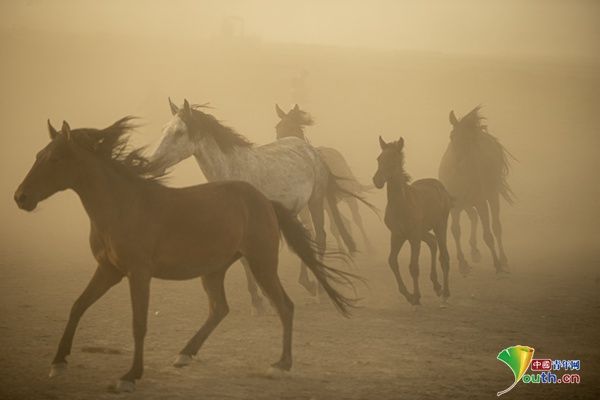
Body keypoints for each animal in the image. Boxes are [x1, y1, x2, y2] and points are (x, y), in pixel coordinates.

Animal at [12, 117, 356, 392]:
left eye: (55, 158)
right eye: (39, 155)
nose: (20, 197)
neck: (122, 205)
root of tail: (264, 201)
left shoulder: (138, 273)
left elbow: (139, 322)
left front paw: (130, 376)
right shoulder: (108, 270)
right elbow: (77, 306)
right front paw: (58, 363)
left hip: (261, 263)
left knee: (284, 306)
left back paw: (281, 365)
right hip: (214, 269)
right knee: (219, 309)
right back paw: (185, 354)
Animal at [276, 104, 376, 253]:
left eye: (293, 128)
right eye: (277, 128)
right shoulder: (305, 211)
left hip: (347, 196)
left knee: (356, 219)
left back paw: (369, 248)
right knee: (342, 222)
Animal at [372, 136, 452, 304]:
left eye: (394, 160)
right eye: (379, 158)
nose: (377, 180)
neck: (401, 204)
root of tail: (441, 187)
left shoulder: (413, 236)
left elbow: (413, 267)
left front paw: (416, 296)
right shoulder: (397, 235)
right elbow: (392, 261)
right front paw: (408, 295)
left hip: (440, 225)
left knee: (444, 256)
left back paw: (446, 292)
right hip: (422, 232)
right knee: (432, 242)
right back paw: (436, 285)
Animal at [438, 105, 512, 276]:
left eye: (471, 140)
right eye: (452, 136)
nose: (459, 164)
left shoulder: (481, 201)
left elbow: (488, 234)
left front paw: (498, 265)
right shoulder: (454, 206)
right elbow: (455, 231)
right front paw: (463, 264)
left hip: (491, 197)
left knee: (496, 227)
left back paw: (503, 260)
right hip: (466, 204)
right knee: (473, 217)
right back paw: (474, 251)